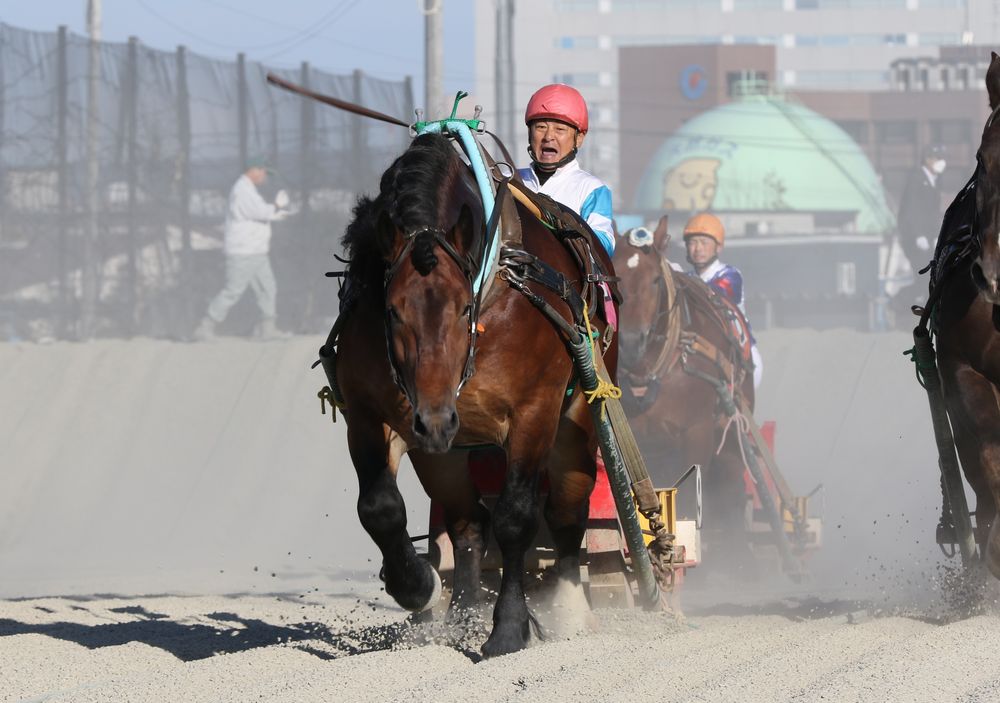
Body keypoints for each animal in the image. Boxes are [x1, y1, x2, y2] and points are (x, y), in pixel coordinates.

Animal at [323, 132, 617, 656]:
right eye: (393, 310)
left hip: (576, 420)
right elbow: (379, 509)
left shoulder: (533, 412)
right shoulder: (371, 414)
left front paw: (510, 628)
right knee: (467, 522)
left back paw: (568, 610)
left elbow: (517, 518)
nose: (436, 420)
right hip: (442, 452)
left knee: (566, 511)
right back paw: (462, 613)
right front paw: (417, 585)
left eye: (464, 308)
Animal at [612, 218, 756, 567]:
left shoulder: (697, 433)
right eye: (617, 276)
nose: (630, 343)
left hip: (731, 431)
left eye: (654, 279)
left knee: (731, 484)